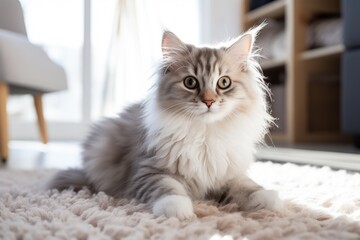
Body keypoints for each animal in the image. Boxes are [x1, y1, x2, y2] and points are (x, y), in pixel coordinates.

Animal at [48, 25, 282, 219]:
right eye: (190, 82)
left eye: (224, 82)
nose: (208, 101)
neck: (204, 133)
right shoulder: (148, 170)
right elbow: (167, 188)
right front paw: (178, 210)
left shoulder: (227, 172)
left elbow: (247, 186)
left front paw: (268, 200)